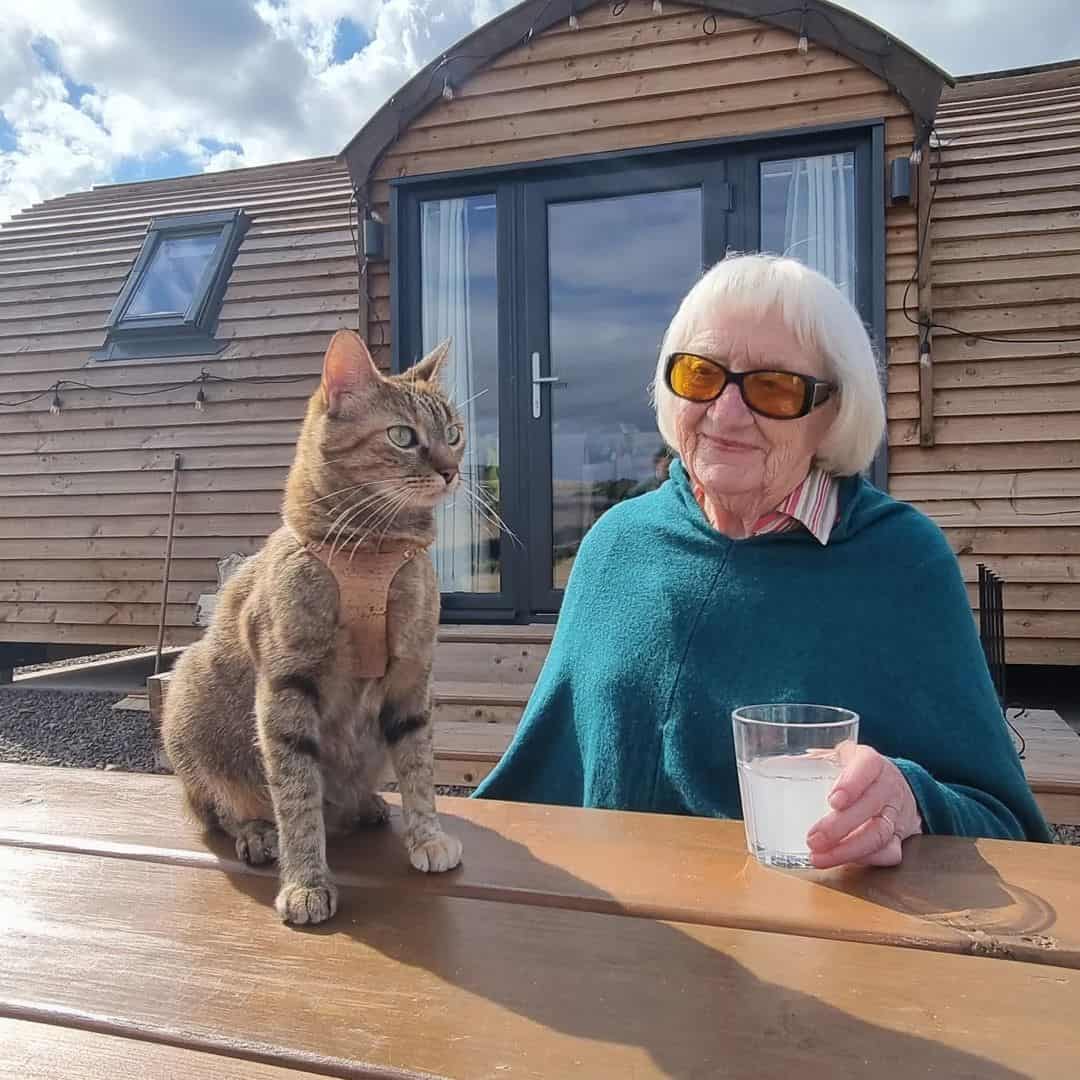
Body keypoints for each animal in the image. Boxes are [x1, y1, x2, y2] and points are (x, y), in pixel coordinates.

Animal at [163, 326, 464, 920]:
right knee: (223, 808)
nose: (450, 469)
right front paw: (305, 880)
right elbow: (296, 792)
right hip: (188, 705)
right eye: (402, 436)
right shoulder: (287, 684)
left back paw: (364, 805)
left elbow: (419, 765)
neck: (373, 552)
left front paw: (427, 836)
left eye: (454, 433)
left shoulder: (413, 675)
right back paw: (258, 832)